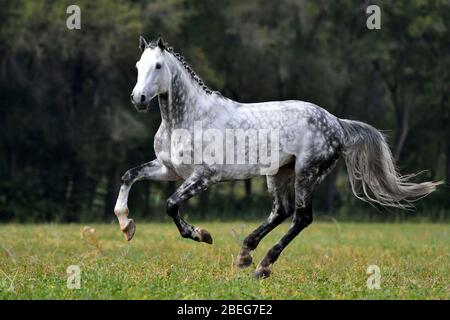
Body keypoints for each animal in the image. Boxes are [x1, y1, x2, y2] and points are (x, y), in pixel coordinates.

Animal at [114, 37, 442, 278]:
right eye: (138, 65)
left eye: (158, 66)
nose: (138, 99)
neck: (187, 119)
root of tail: (336, 121)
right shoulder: (168, 169)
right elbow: (129, 176)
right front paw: (126, 226)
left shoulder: (204, 176)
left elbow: (171, 205)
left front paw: (202, 234)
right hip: (278, 173)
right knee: (280, 211)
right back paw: (246, 254)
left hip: (307, 173)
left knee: (301, 218)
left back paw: (262, 265)